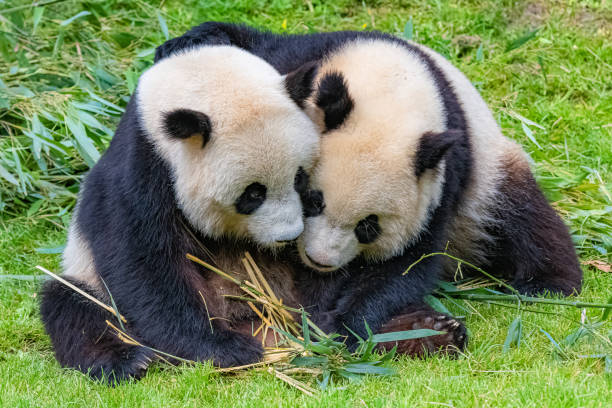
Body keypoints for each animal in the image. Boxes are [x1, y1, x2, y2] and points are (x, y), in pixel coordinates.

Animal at [38, 45, 322, 382]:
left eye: (299, 178)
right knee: (73, 306)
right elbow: (145, 264)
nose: (288, 237)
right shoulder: (141, 171)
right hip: (87, 276)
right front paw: (224, 348)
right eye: (253, 194)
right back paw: (127, 360)